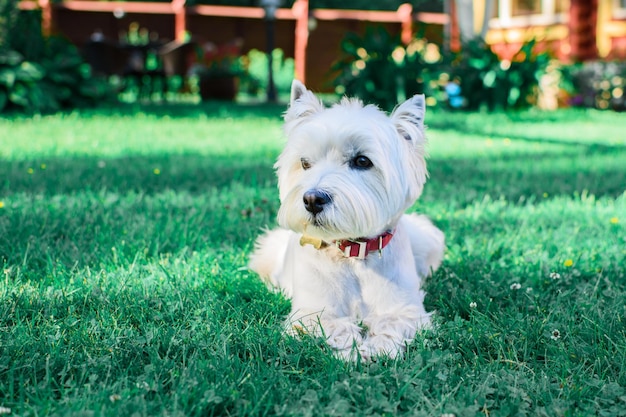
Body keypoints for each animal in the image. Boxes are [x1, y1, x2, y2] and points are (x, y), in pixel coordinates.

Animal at [249, 81, 444, 360]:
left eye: (362, 160)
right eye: (304, 162)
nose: (312, 199)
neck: (353, 253)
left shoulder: (405, 309)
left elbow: (391, 324)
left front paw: (376, 349)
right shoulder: (313, 312)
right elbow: (334, 326)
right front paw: (352, 353)